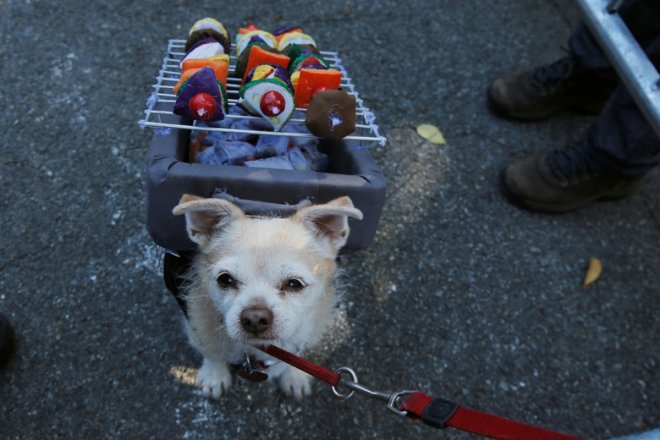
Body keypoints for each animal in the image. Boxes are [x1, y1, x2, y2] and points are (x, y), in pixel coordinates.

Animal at [173, 194, 364, 400]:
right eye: (225, 279)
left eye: (294, 284)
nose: (255, 318)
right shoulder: (196, 323)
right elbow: (210, 351)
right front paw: (214, 375)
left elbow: (297, 352)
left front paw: (294, 375)